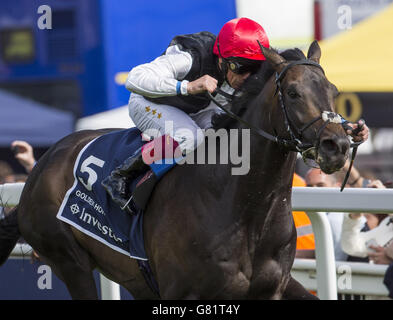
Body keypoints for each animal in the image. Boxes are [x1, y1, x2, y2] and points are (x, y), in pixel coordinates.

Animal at [0, 41, 350, 298]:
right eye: (293, 92)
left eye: (333, 91)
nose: (337, 145)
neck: (247, 208)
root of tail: (40, 168)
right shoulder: (183, 293)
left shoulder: (272, 289)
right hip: (70, 262)